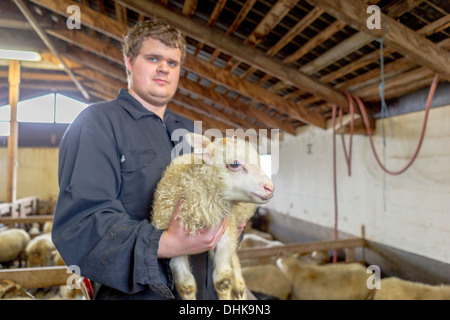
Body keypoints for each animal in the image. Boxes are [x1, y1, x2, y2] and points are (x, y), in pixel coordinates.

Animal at [151, 133, 272, 300]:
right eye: (235, 164)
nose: (270, 188)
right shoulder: (174, 243)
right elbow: (186, 285)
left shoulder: (226, 231)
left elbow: (223, 280)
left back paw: (239, 285)